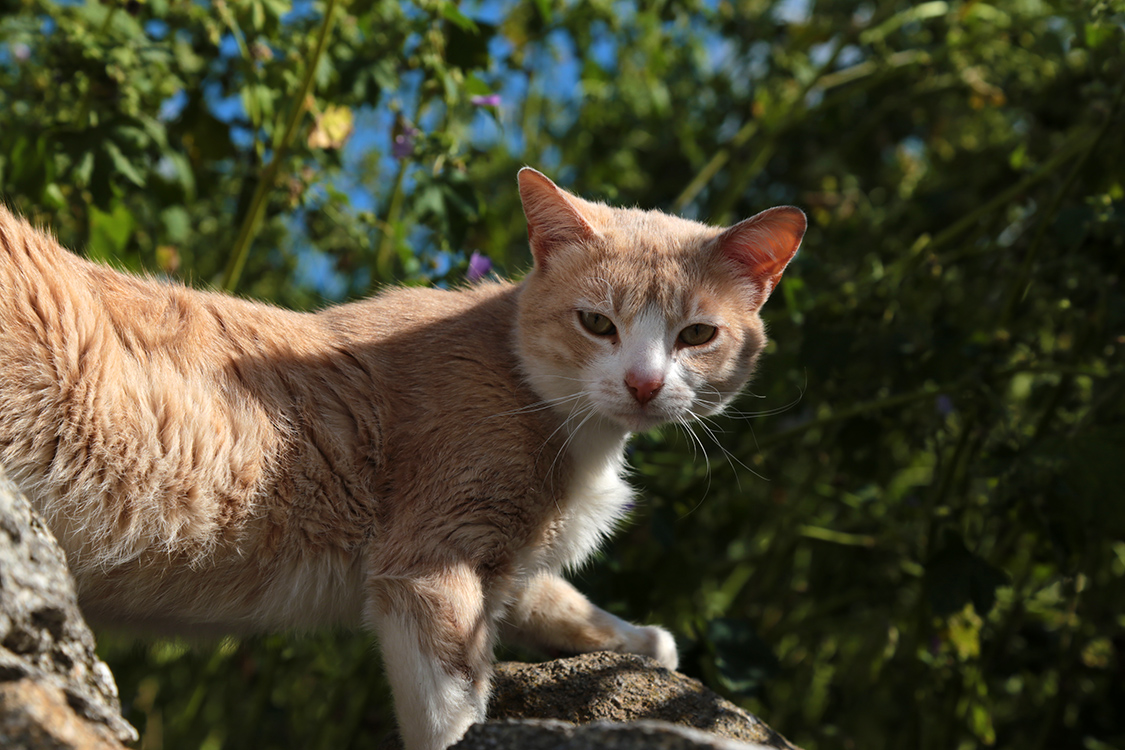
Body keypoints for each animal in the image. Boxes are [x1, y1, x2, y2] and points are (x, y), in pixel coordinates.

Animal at [0, 169, 810, 750]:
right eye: (596, 323)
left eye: (696, 335)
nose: (643, 384)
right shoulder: (427, 565)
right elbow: (451, 707)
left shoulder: (503, 561)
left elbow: (548, 597)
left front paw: (642, 641)